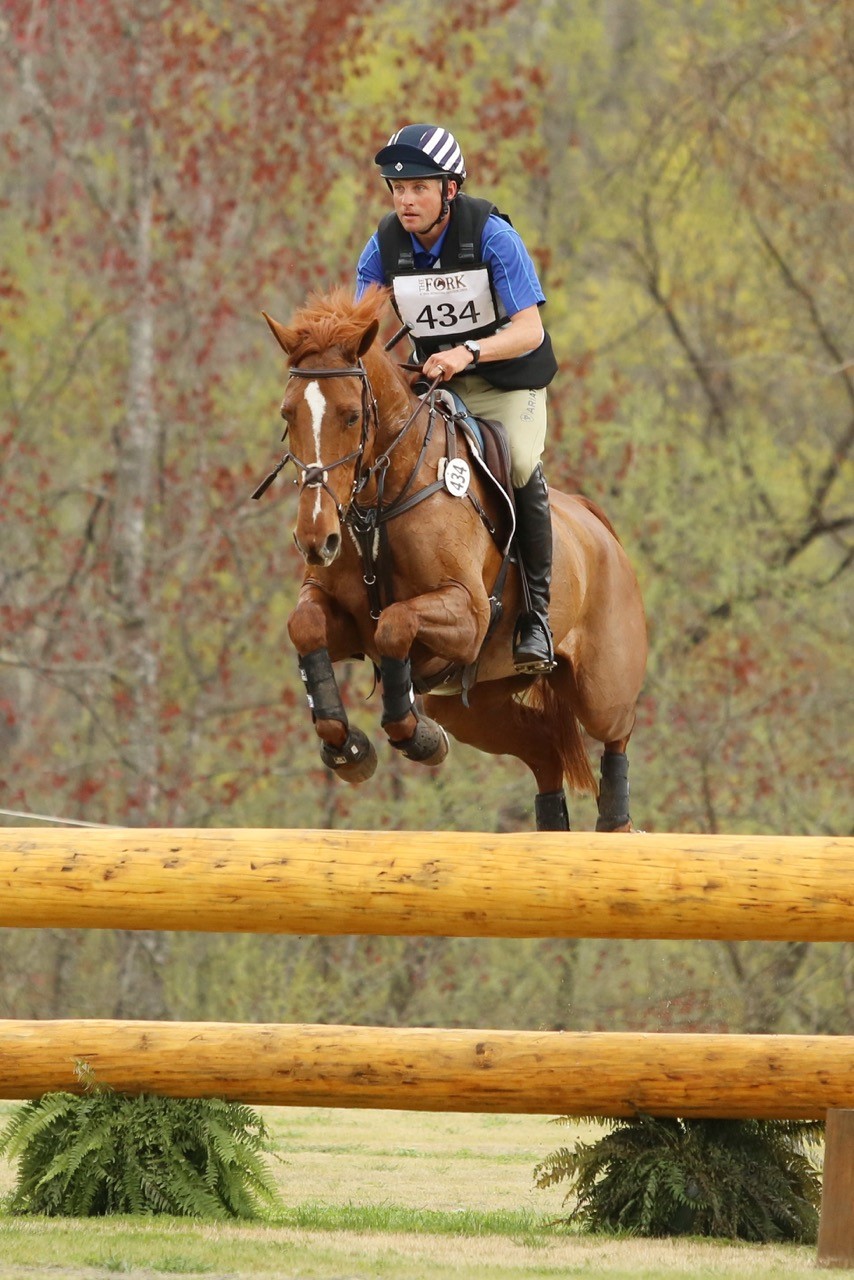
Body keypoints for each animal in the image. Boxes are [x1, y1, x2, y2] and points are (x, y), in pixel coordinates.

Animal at [256, 287, 647, 831]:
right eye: (287, 415)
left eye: (351, 416)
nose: (316, 539)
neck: (381, 498)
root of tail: (599, 526)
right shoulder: (343, 619)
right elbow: (306, 627)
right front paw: (348, 747)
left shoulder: (468, 614)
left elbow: (394, 624)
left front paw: (417, 738)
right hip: (476, 706)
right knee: (544, 751)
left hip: (600, 687)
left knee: (615, 735)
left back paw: (615, 823)